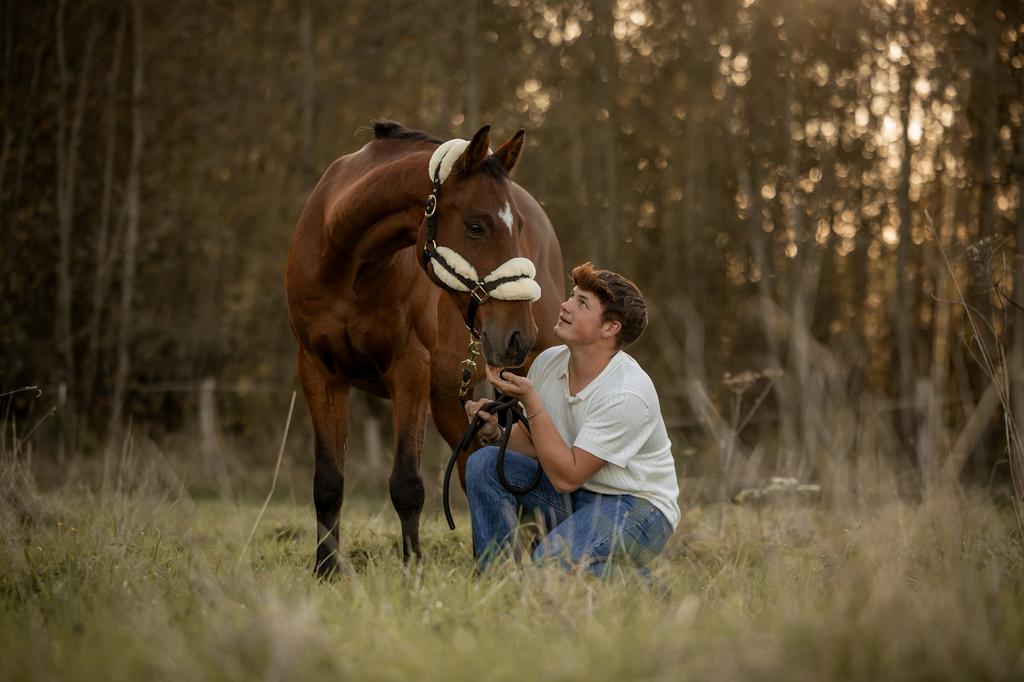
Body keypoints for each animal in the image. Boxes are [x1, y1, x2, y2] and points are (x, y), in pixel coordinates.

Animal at [285, 120, 564, 576]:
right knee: (471, 465)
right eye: (476, 225)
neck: (347, 265)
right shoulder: (318, 371)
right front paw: (326, 570)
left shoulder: (409, 370)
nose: (518, 335)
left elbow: (407, 484)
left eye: (517, 226)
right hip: (452, 399)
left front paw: (412, 570)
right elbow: (327, 481)